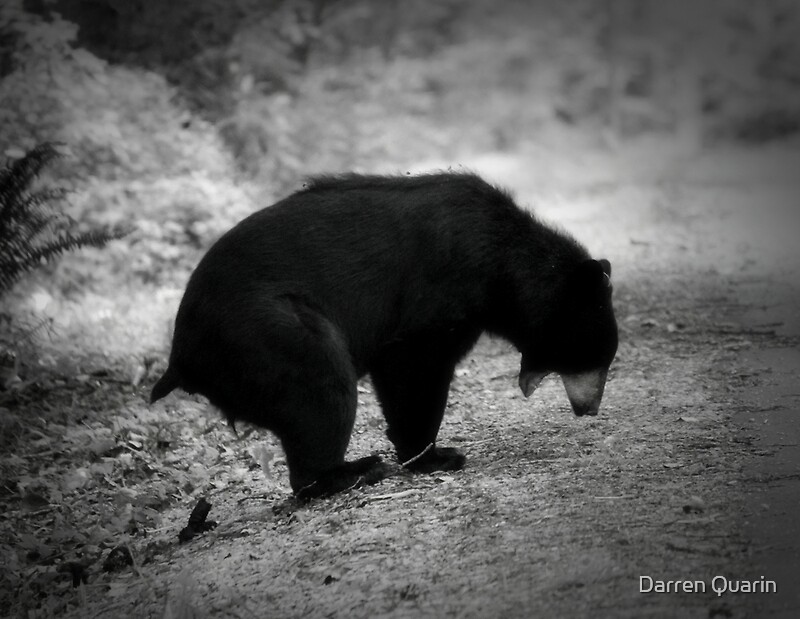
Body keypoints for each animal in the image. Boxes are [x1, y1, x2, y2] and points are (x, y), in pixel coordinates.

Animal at [150, 172, 618, 499]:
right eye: (598, 356)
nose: (590, 408)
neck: (503, 262)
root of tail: (181, 358)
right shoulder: (443, 284)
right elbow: (413, 364)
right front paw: (436, 456)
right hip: (264, 330)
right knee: (319, 388)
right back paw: (352, 471)